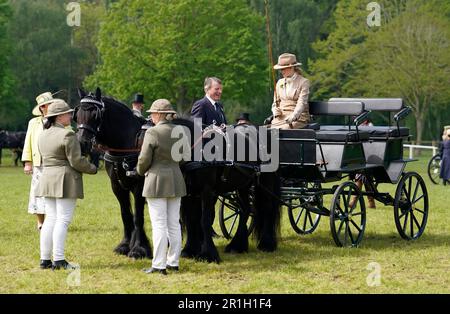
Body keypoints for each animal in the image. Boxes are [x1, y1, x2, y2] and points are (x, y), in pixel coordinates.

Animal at [74, 87, 151, 258]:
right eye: (78, 113)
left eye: (96, 115)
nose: (82, 144)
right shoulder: (116, 186)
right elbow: (126, 214)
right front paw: (124, 245)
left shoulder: (139, 187)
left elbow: (138, 216)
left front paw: (138, 248)